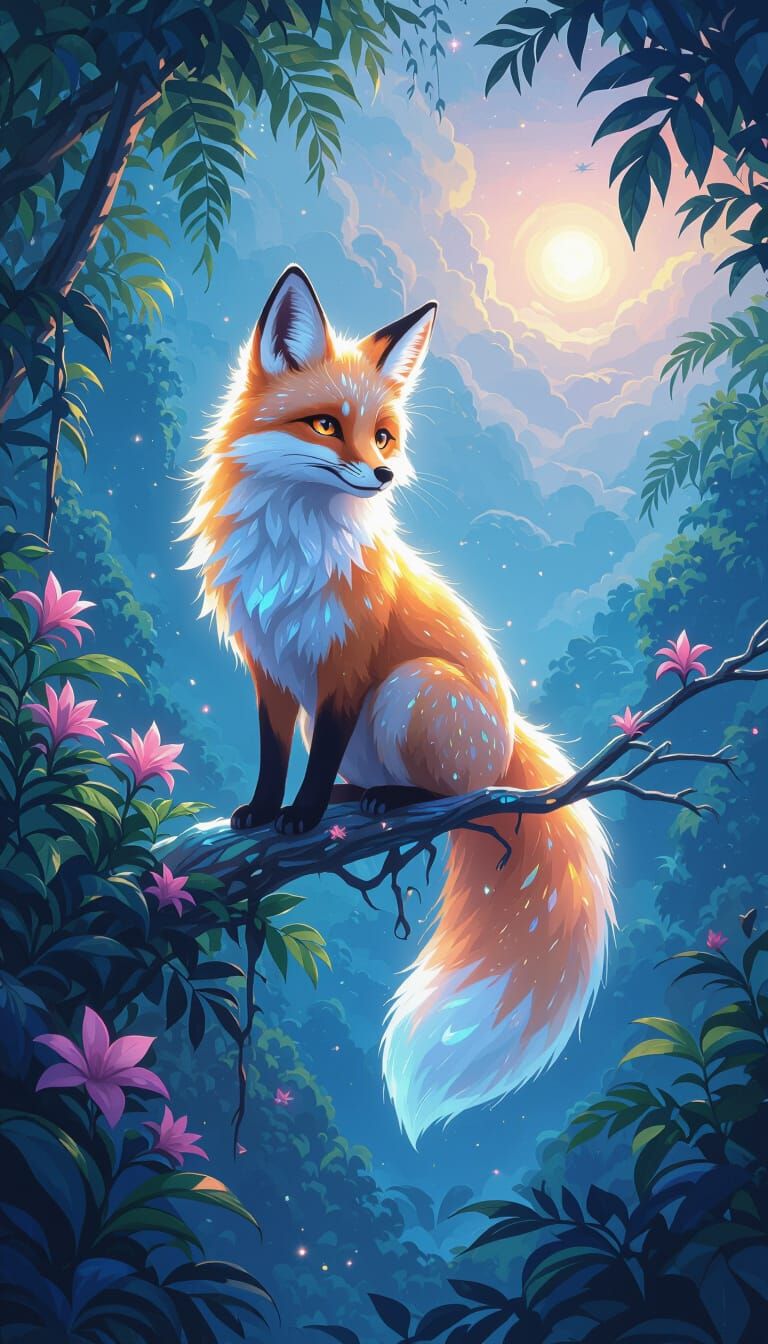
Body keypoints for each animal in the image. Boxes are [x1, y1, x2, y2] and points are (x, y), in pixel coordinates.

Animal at [182, 265, 615, 1145]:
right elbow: (274, 756)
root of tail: (511, 739)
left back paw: (391, 799)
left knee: (452, 793)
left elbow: (312, 765)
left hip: (411, 687)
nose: (381, 477)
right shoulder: (271, 672)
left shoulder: (347, 670)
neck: (294, 548)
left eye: (382, 436)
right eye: (325, 426)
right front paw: (262, 812)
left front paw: (301, 817)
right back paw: (360, 796)